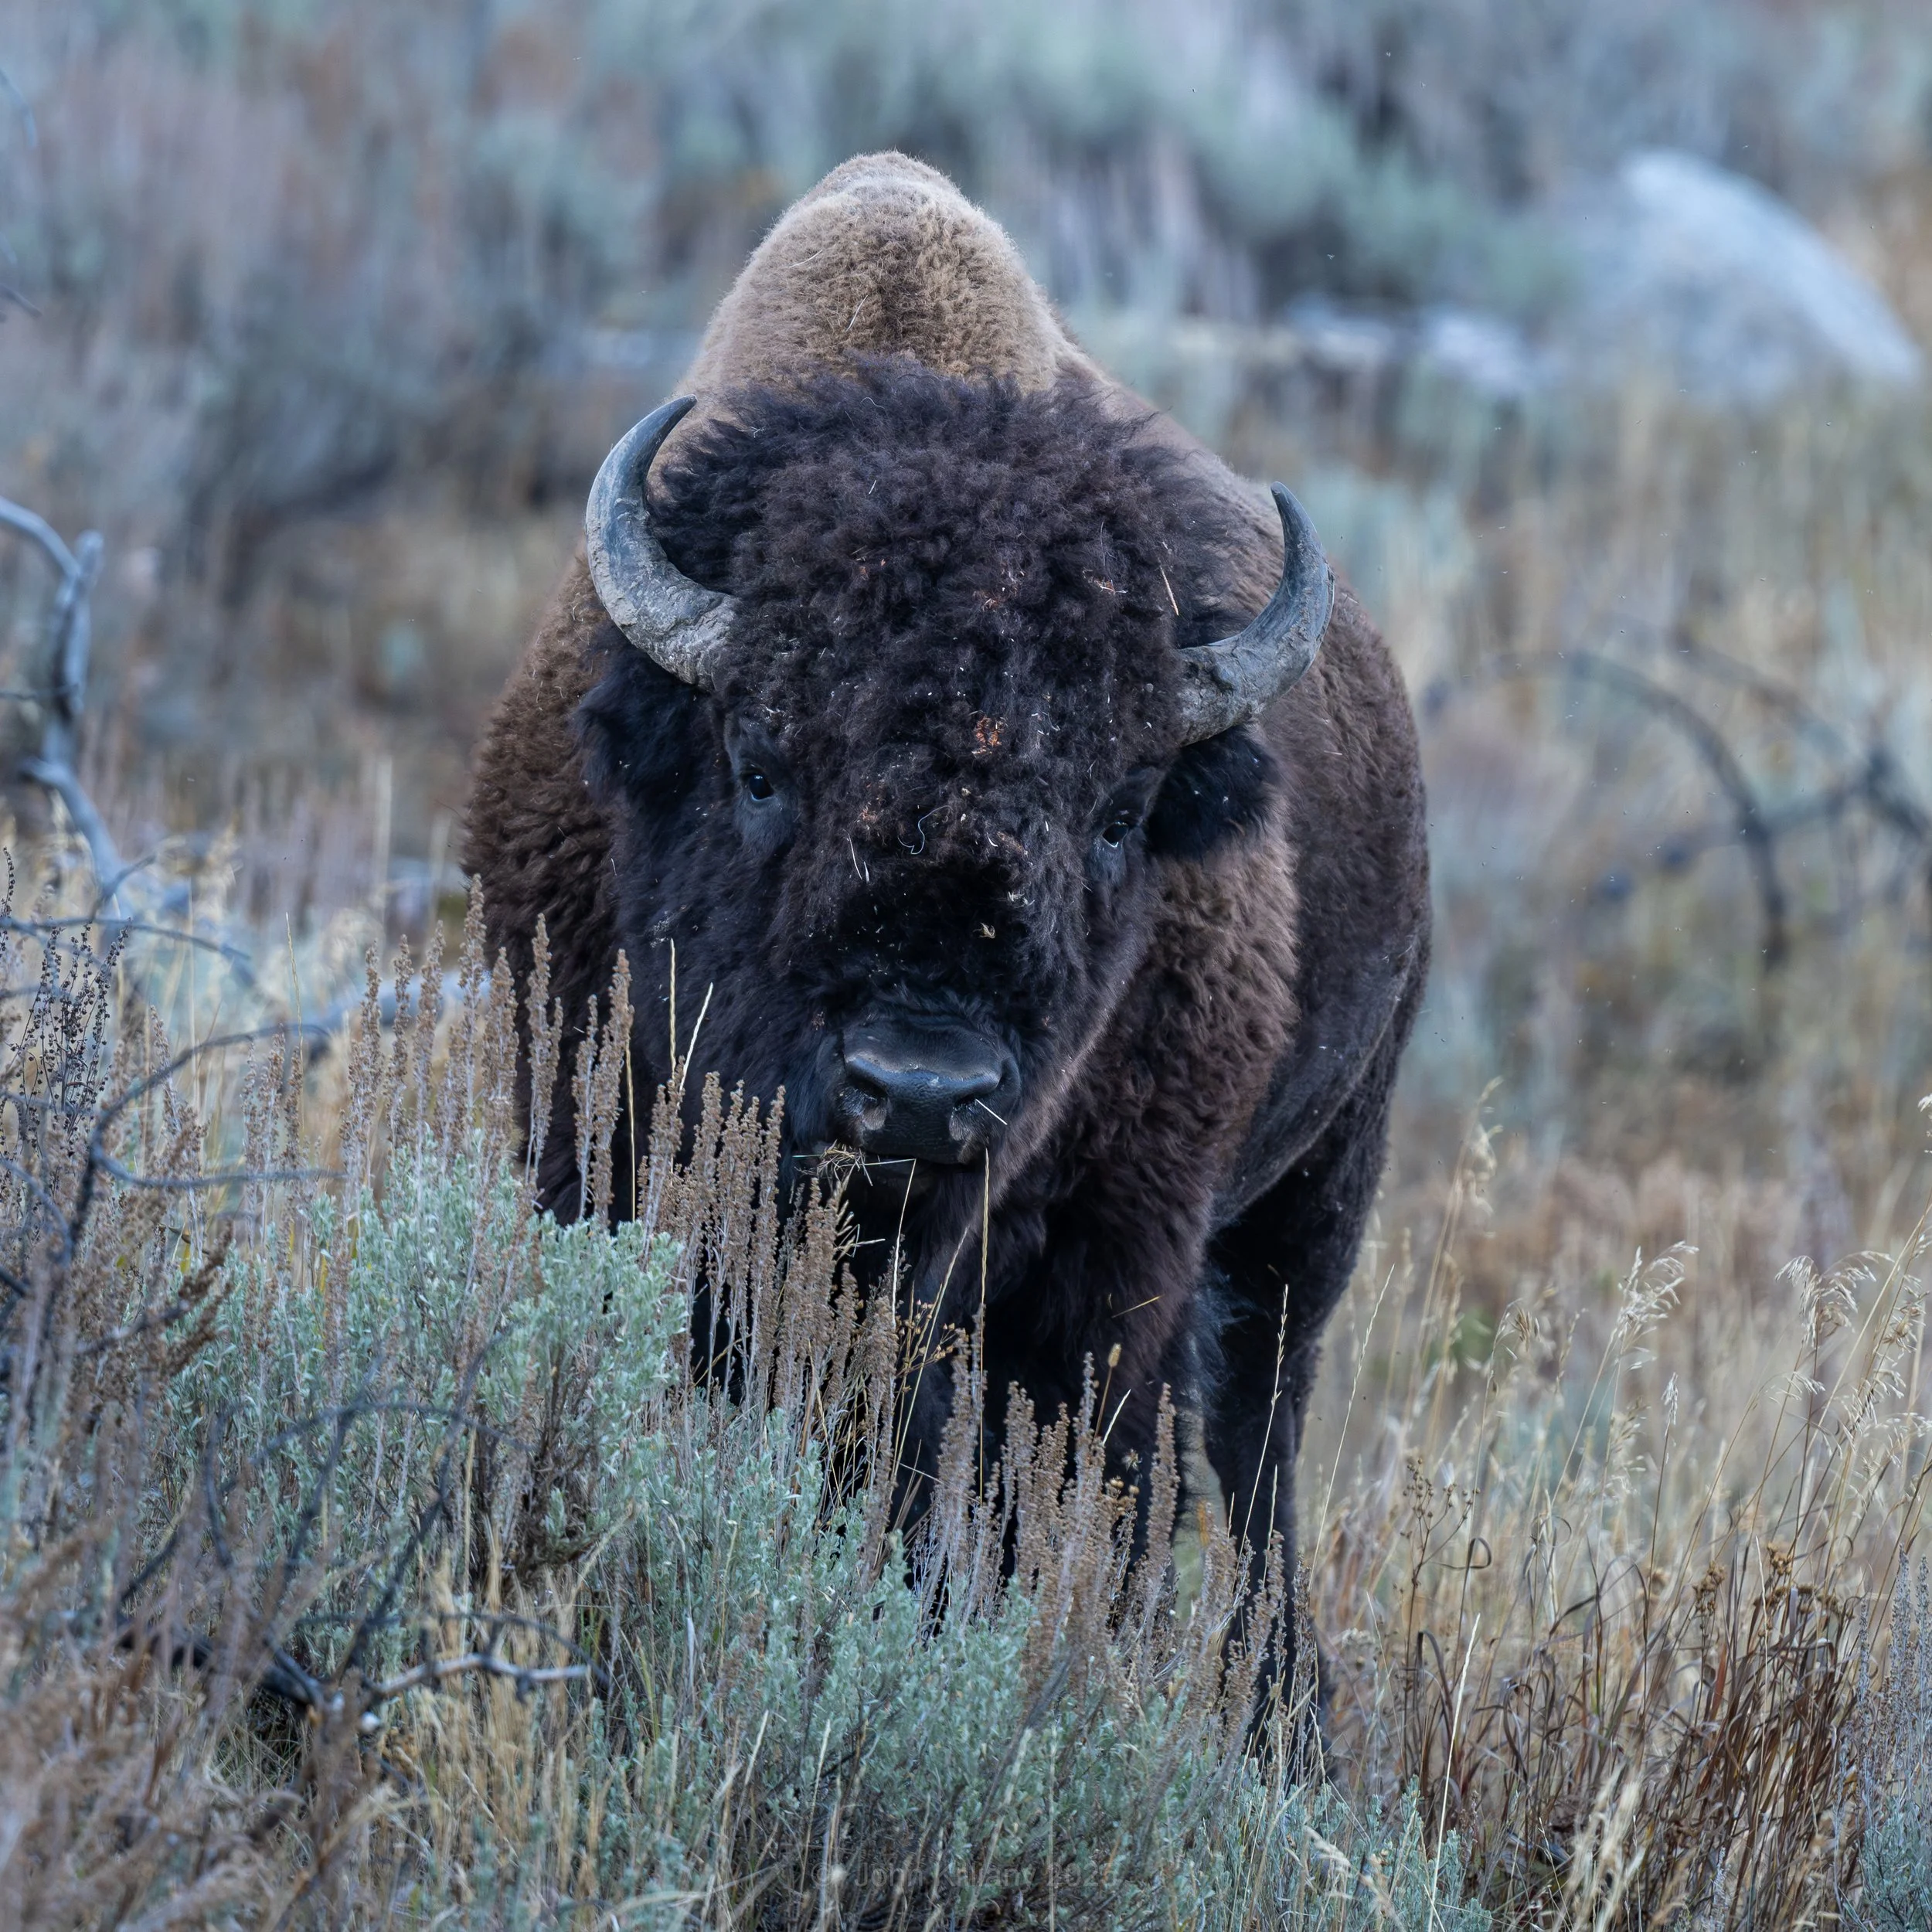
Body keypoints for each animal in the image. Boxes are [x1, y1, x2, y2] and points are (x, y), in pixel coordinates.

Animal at [465, 153, 1430, 1708]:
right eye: (758, 763)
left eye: (1120, 811)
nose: (917, 1092)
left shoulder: (1106, 1262)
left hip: (1305, 1213)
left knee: (1246, 1470)